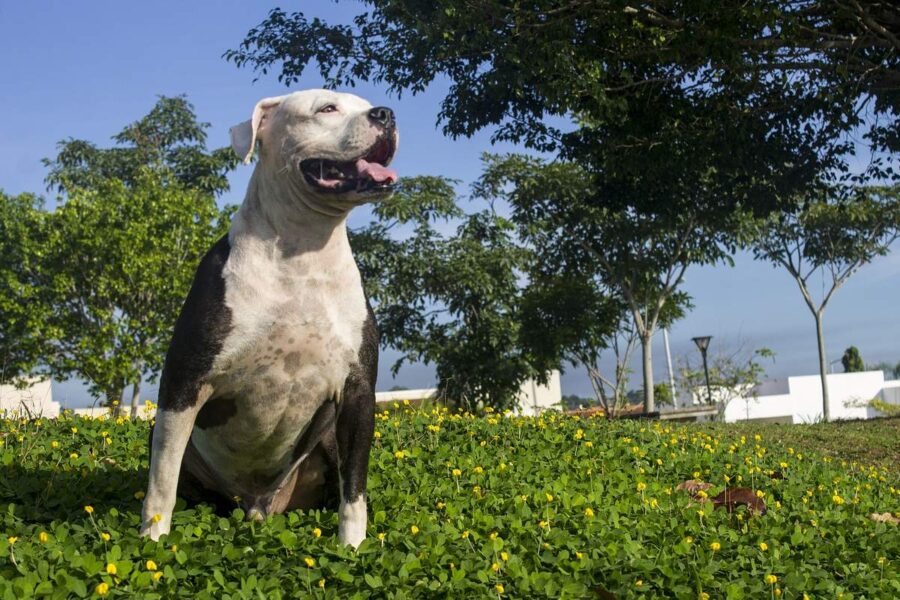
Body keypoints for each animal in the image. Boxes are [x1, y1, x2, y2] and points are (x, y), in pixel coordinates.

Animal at [140, 88, 398, 548]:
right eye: (327, 108)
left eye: (365, 102)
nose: (385, 114)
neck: (303, 251)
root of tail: (259, 505)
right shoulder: (184, 382)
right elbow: (161, 481)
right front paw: (150, 542)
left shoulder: (357, 393)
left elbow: (355, 489)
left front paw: (352, 547)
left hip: (325, 441)